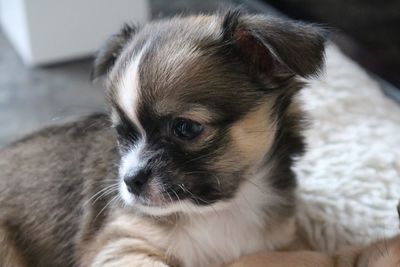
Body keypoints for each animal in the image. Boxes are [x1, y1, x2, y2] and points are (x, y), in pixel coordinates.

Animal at [0, 8, 396, 267]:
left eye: (186, 128)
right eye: (122, 134)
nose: (130, 181)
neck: (222, 210)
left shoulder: (282, 244)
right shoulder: (122, 244)